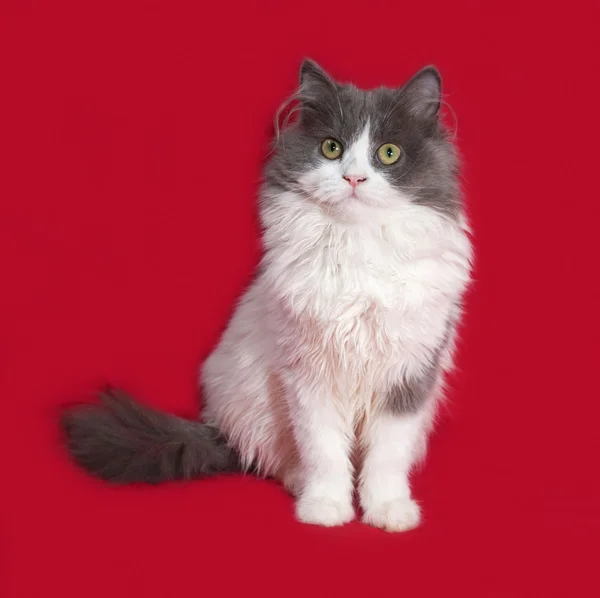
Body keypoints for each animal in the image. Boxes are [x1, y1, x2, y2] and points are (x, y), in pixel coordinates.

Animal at [61, 58, 474, 532]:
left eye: (388, 153)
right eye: (331, 148)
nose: (353, 178)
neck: (357, 247)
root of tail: (217, 427)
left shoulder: (409, 376)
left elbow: (387, 457)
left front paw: (388, 510)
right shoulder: (309, 375)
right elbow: (324, 451)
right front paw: (325, 507)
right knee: (274, 459)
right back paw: (298, 482)